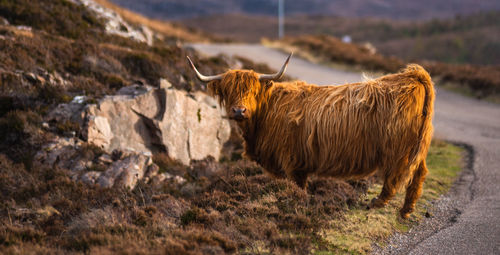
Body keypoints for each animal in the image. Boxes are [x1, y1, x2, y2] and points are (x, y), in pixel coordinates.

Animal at [188, 54, 434, 218]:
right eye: (228, 90)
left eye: (252, 90)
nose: (239, 111)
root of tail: (413, 76)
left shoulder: (292, 162)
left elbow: (298, 188)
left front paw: (297, 205)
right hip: (418, 147)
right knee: (419, 174)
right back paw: (406, 210)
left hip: (397, 149)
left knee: (396, 177)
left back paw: (377, 203)